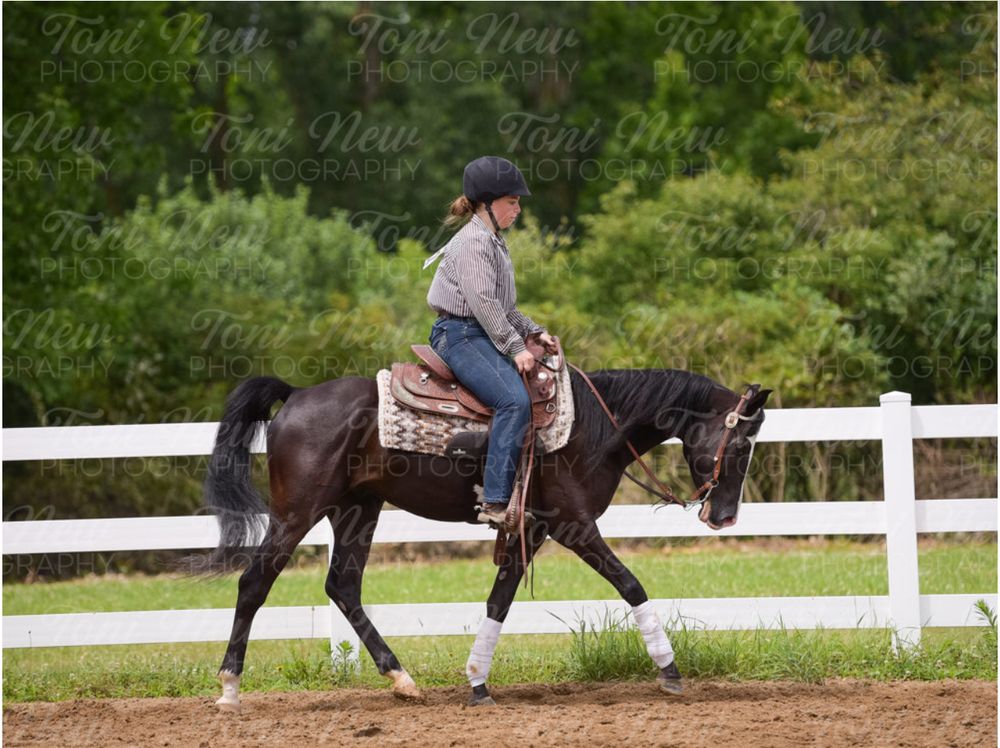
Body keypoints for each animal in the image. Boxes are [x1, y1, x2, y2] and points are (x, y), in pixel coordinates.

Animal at [199, 365, 771, 711]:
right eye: (742, 444)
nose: (724, 518)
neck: (592, 426)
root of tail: (295, 395)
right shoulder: (574, 524)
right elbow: (631, 585)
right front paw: (669, 669)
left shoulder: (533, 528)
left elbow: (500, 598)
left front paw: (477, 681)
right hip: (299, 512)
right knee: (254, 583)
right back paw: (229, 688)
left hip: (356, 510)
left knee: (343, 586)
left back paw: (402, 679)